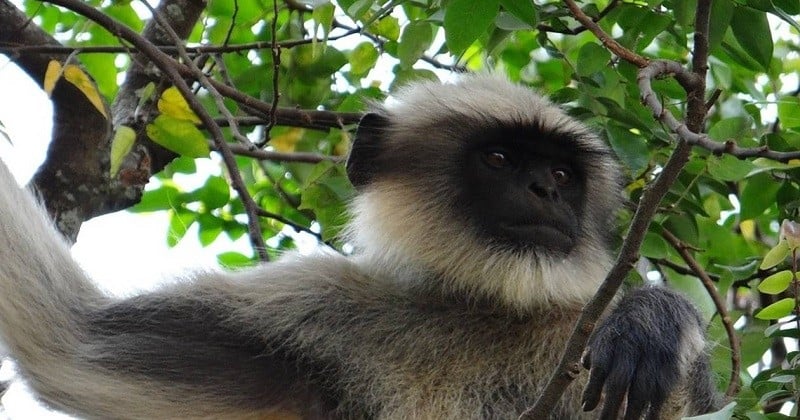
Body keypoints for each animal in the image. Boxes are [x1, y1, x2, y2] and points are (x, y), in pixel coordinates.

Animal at [0, 74, 720, 418]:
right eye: (499, 158)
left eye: (564, 174)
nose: (544, 188)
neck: (482, 307)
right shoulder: (316, 306)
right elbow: (67, 341)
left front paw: (651, 318)